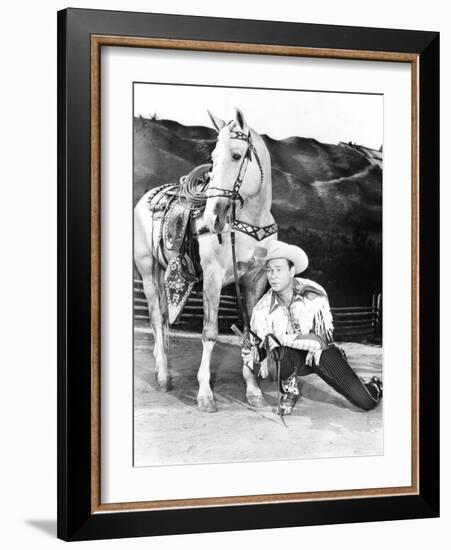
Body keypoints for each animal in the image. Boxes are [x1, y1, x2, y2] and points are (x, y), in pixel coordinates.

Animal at [132, 108, 278, 412]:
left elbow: (250, 332)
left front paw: (253, 390)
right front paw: (205, 394)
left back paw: (160, 366)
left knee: (163, 317)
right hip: (147, 271)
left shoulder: (255, 281)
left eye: (236, 155)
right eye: (213, 157)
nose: (213, 218)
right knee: (155, 318)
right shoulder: (213, 277)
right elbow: (209, 333)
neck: (248, 224)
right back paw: (163, 377)